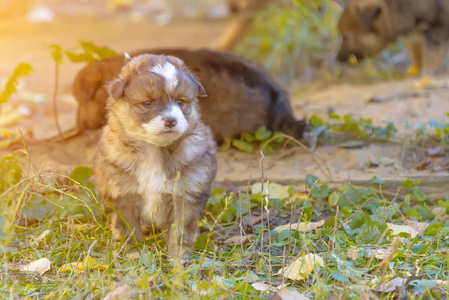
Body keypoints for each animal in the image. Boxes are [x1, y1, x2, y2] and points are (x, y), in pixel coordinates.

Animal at [93, 54, 216, 258]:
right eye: (148, 102)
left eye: (180, 101)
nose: (171, 120)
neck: (153, 149)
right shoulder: (123, 197)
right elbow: (128, 229)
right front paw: (133, 254)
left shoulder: (186, 195)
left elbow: (181, 230)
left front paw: (178, 256)